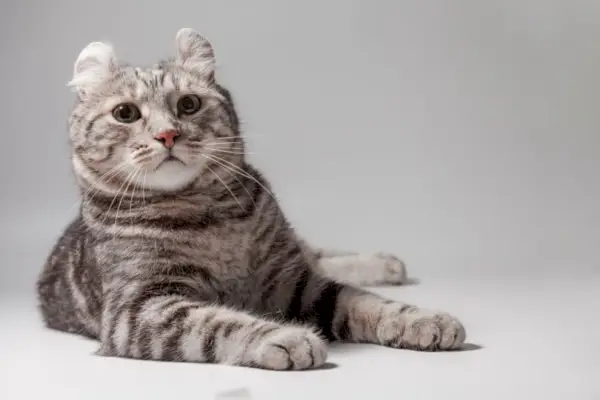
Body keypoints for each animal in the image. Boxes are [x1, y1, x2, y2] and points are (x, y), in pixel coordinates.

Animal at [36, 28, 468, 370]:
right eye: (125, 113)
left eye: (188, 104)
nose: (168, 135)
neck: (205, 219)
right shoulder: (140, 310)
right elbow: (220, 323)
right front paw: (284, 337)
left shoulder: (297, 283)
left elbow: (367, 302)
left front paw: (423, 319)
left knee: (318, 254)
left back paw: (386, 263)